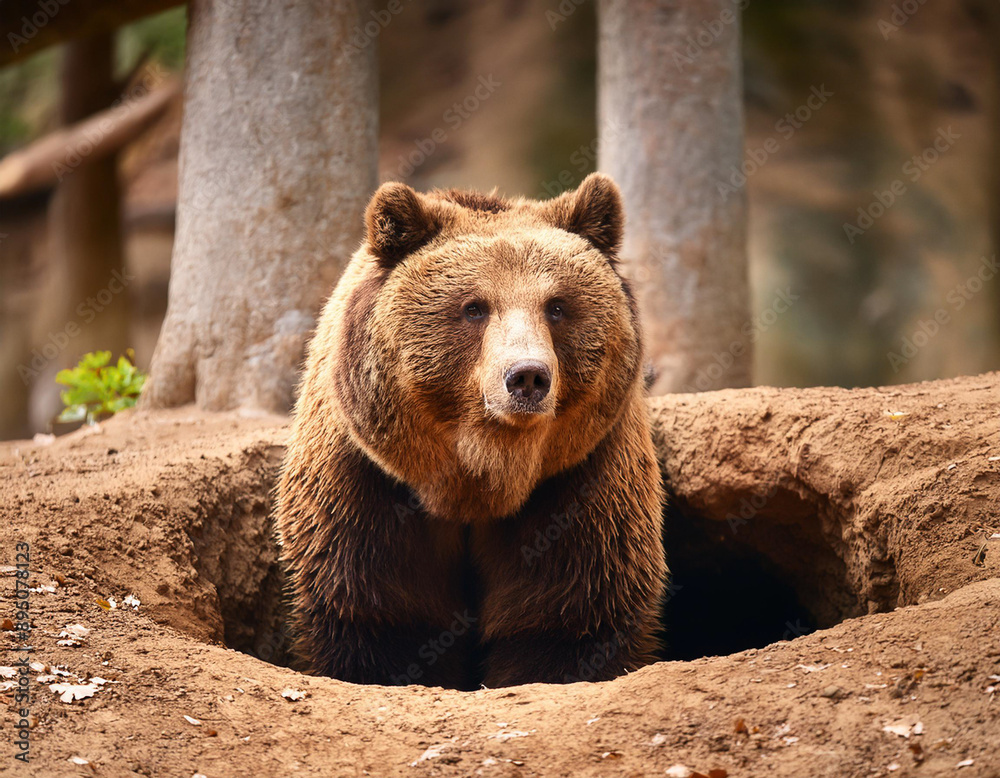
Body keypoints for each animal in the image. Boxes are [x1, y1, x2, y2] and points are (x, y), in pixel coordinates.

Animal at [275, 172, 666, 689]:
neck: (483, 474)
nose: (527, 377)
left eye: (556, 305)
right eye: (474, 307)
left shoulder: (580, 479)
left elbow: (566, 615)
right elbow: (378, 614)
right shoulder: (366, 482)